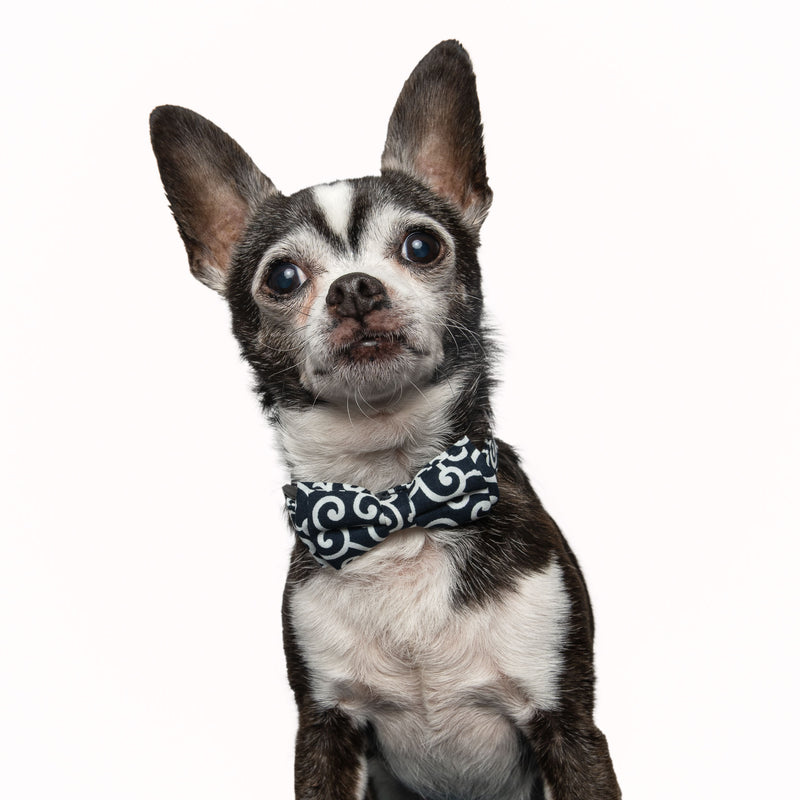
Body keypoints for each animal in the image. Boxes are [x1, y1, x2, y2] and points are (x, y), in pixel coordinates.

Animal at [152, 40, 624, 800]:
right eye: (282, 277)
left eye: (422, 246)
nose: (354, 288)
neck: (395, 495)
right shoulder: (325, 730)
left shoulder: (569, 726)